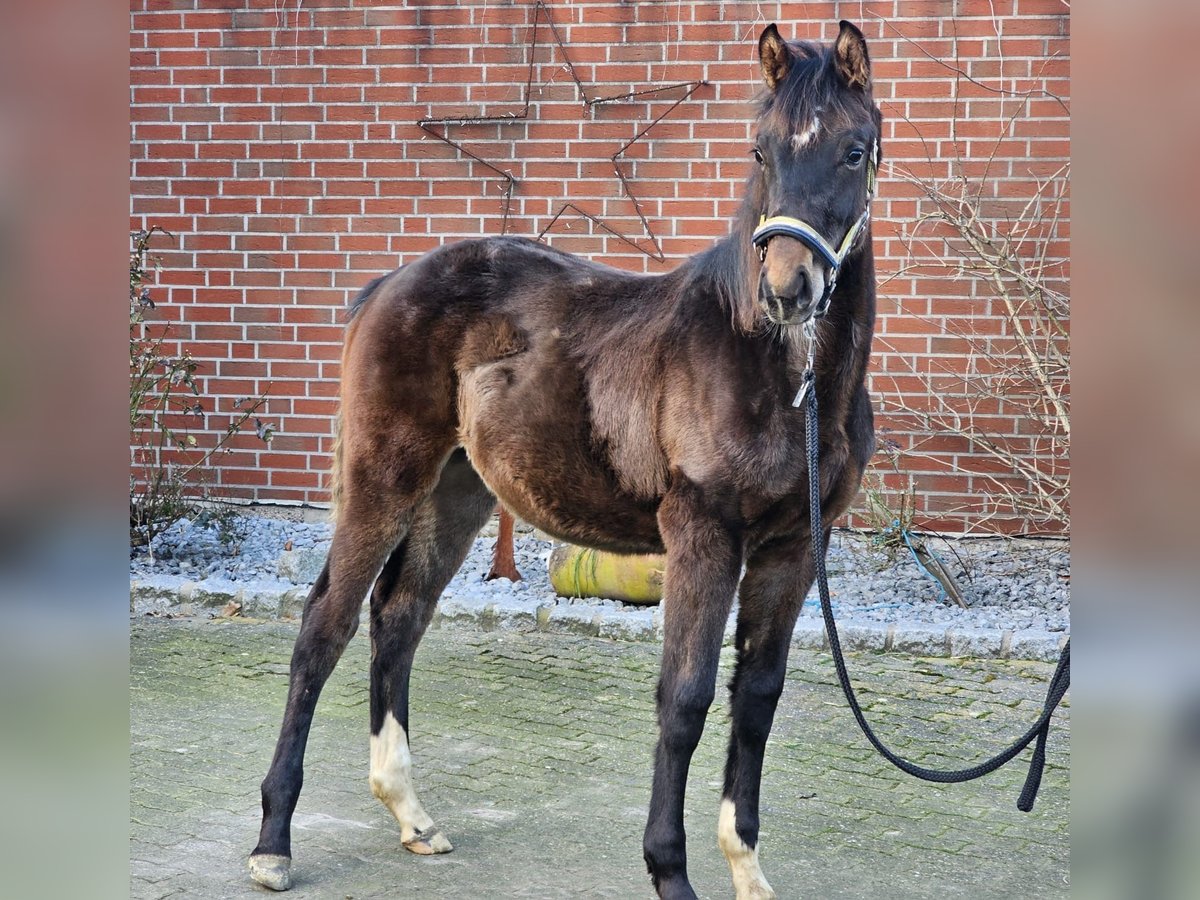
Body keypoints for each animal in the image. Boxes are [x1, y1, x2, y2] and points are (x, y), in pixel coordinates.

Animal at [250, 21, 883, 900]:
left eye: (855, 151)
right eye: (760, 149)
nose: (787, 288)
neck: (778, 375)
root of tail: (386, 285)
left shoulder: (793, 548)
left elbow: (755, 697)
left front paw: (748, 871)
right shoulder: (704, 537)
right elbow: (684, 699)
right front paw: (670, 872)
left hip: (456, 494)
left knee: (398, 618)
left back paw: (412, 816)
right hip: (383, 481)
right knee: (325, 626)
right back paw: (273, 842)